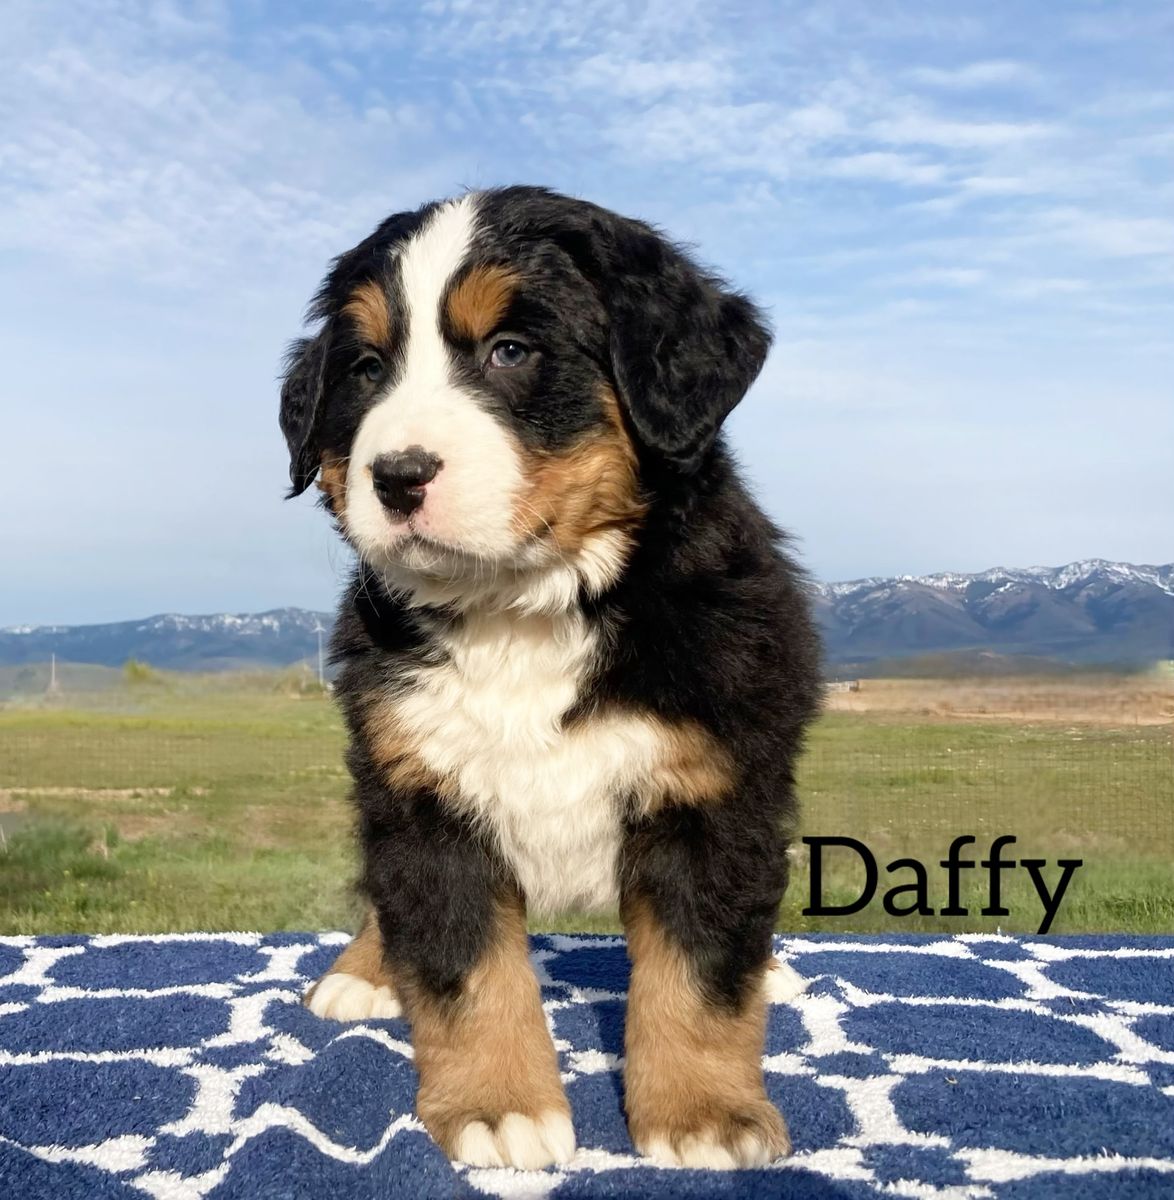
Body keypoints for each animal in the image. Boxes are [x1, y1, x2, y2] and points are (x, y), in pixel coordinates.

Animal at [280, 186, 822, 1170]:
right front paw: (499, 1105)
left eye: (511, 351)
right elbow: (463, 966)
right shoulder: (421, 792)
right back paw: (364, 972)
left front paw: (703, 1113)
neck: (521, 612)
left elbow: (700, 972)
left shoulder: (713, 794)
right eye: (367, 370)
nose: (397, 475)